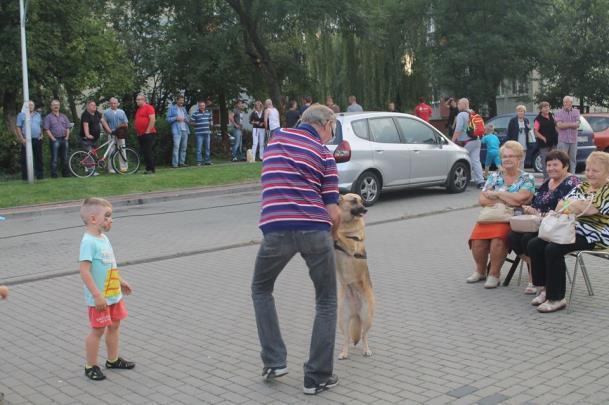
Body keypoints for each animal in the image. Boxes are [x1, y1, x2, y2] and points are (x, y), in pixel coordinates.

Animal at [332, 193, 376, 360]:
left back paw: (366, 350)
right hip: (343, 319)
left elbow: (339, 234)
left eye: (362, 201)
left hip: (367, 317)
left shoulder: (351, 246)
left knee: (363, 335)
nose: (365, 209)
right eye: (353, 201)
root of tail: (356, 311)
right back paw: (344, 353)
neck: (347, 224)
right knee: (346, 338)